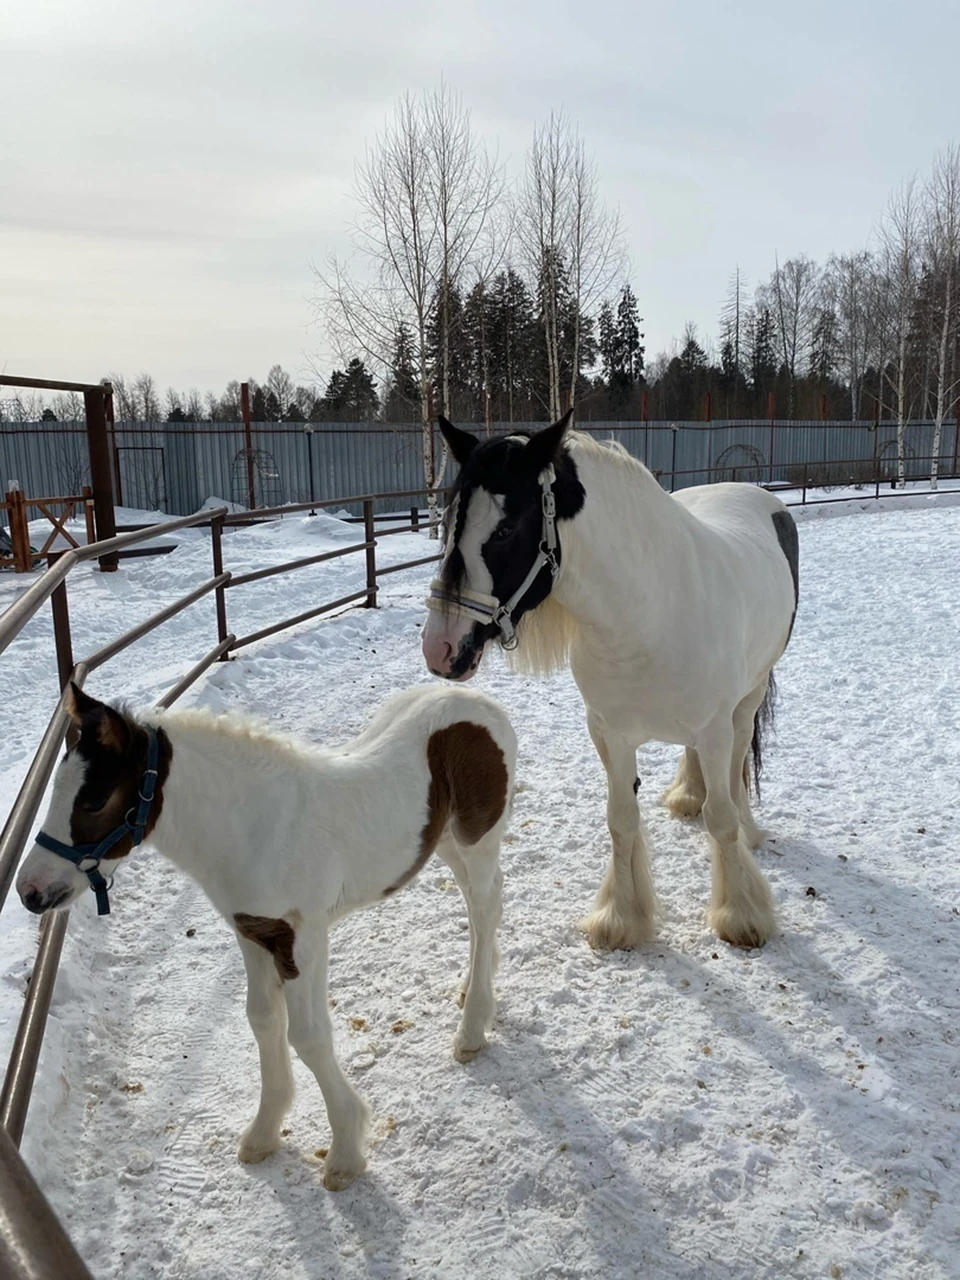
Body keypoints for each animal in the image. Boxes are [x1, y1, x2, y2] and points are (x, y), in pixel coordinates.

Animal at [16, 680, 519, 1187]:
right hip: (445, 841)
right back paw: (470, 990)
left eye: (94, 801)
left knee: (485, 905)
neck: (254, 828)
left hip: (477, 838)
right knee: (479, 905)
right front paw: (263, 1133)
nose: (29, 891)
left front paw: (345, 1151)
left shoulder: (303, 938)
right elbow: (262, 1019)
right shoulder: (252, 931)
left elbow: (310, 1036)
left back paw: (472, 1027)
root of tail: (476, 700)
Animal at [424, 412, 798, 952]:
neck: (647, 614)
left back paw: (746, 828)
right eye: (451, 522)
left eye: (506, 528)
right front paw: (622, 919)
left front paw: (741, 915)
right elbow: (621, 821)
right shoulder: (610, 733)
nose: (440, 647)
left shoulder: (713, 729)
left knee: (735, 767)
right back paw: (688, 796)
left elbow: (722, 818)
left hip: (748, 697)